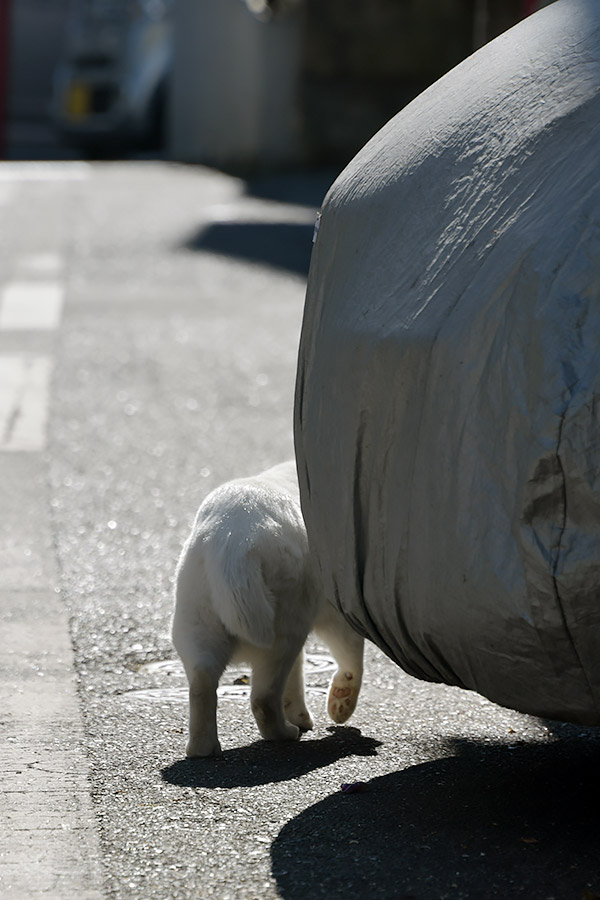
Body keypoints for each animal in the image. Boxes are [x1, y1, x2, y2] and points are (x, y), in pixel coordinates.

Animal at [171, 460, 364, 756]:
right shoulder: (338, 608)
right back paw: (286, 733)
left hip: (196, 621)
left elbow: (299, 675)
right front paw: (340, 706)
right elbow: (351, 657)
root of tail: (234, 541)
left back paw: (203, 749)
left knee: (202, 683)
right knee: (263, 697)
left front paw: (302, 715)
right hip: (284, 626)